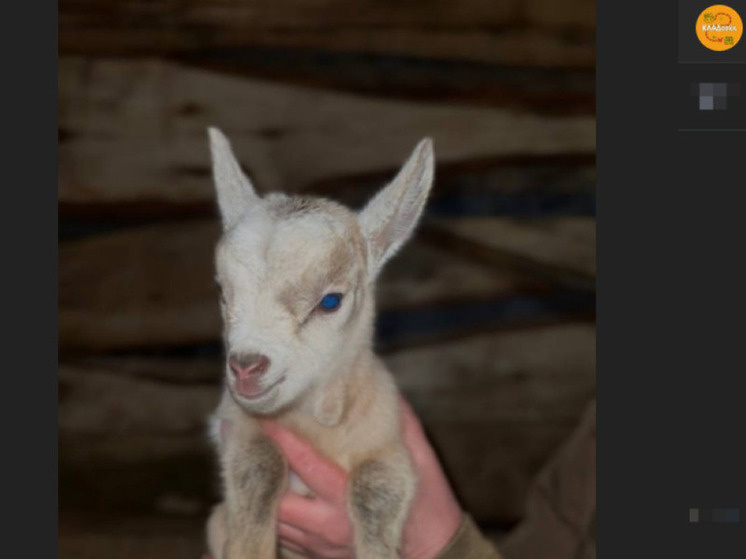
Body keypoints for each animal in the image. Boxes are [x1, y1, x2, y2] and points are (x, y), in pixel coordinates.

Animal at [205, 128, 434, 559]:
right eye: (223, 294)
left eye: (330, 301)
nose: (246, 366)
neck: (310, 420)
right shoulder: (237, 424)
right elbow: (259, 466)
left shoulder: (390, 442)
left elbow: (377, 487)